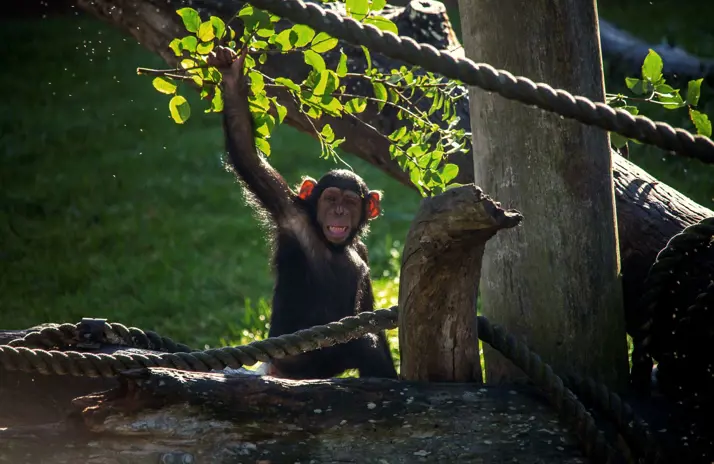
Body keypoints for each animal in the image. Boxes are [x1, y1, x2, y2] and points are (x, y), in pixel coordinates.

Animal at [207, 45, 398, 380]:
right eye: (331, 198)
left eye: (350, 202)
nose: (338, 211)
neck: (332, 244)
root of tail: (270, 367)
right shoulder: (289, 213)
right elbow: (247, 155)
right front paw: (231, 78)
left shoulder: (362, 249)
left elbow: (369, 312)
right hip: (298, 361)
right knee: (363, 344)